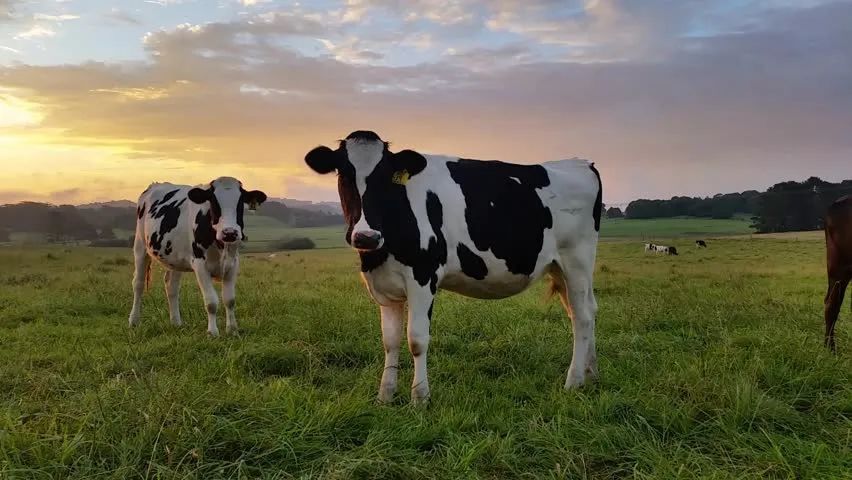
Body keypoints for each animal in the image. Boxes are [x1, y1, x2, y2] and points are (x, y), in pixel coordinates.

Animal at [126, 177, 264, 338]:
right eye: (213, 201)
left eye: (240, 202)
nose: (229, 232)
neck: (220, 245)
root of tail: (155, 185)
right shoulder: (200, 264)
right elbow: (211, 302)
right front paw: (212, 332)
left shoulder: (233, 263)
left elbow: (230, 300)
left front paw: (232, 330)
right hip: (140, 246)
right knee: (138, 284)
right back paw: (134, 321)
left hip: (175, 257)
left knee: (171, 286)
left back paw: (176, 322)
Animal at [302, 129, 604, 404]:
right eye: (343, 174)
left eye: (386, 177)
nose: (366, 236)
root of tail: (581, 163)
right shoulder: (384, 285)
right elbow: (390, 341)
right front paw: (385, 397)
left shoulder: (424, 277)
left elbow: (416, 339)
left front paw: (420, 398)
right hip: (558, 267)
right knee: (585, 310)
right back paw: (591, 375)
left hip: (577, 258)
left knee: (581, 316)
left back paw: (574, 381)